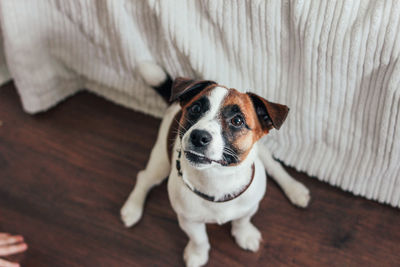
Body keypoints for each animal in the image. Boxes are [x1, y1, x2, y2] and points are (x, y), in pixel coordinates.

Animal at [120, 62, 310, 267]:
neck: (217, 177)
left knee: (275, 167)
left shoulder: (249, 206)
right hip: (161, 160)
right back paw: (132, 208)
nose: (198, 136)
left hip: (263, 153)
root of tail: (174, 105)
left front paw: (244, 234)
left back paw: (295, 190)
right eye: (195, 109)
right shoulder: (188, 220)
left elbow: (242, 220)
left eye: (237, 120)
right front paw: (197, 254)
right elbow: (199, 238)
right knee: (145, 178)